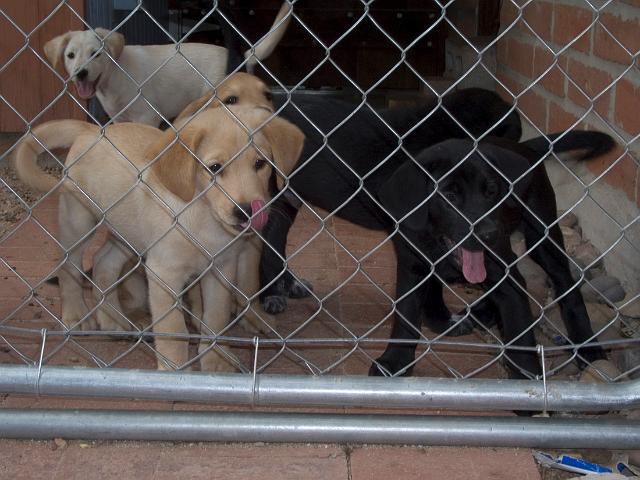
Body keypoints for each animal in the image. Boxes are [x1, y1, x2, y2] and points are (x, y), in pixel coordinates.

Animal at [15, 108, 304, 372]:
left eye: (260, 164)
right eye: (214, 168)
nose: (246, 211)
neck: (203, 216)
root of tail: (91, 129)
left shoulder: (220, 269)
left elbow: (216, 317)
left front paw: (216, 362)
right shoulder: (164, 272)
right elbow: (173, 330)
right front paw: (176, 370)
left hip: (128, 233)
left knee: (103, 262)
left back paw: (113, 320)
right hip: (78, 220)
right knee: (69, 266)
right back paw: (76, 314)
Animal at [45, 2, 292, 125]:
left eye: (96, 54)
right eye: (70, 55)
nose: (81, 73)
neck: (115, 75)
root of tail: (242, 58)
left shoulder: (147, 117)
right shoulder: (120, 119)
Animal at [376, 130, 616, 378]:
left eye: (491, 191)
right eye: (449, 196)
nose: (489, 234)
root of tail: (523, 148)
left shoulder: (505, 275)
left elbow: (520, 334)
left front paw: (525, 376)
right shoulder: (412, 267)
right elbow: (406, 316)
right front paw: (394, 361)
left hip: (543, 235)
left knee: (566, 285)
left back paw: (587, 346)